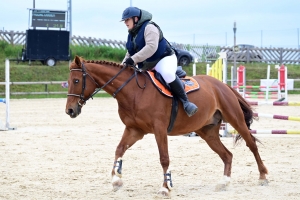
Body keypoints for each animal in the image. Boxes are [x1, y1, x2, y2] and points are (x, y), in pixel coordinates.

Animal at [65, 55, 268, 196]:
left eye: (76, 81)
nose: (70, 111)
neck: (133, 92)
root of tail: (222, 85)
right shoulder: (135, 130)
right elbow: (119, 149)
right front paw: (116, 180)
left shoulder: (159, 130)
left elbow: (164, 158)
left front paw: (165, 188)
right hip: (207, 132)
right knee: (227, 155)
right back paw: (224, 182)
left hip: (235, 119)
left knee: (251, 145)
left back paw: (263, 176)